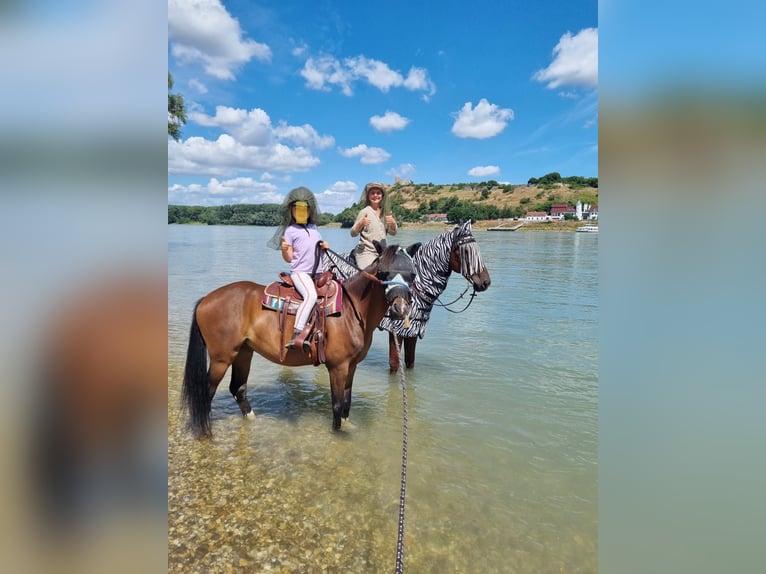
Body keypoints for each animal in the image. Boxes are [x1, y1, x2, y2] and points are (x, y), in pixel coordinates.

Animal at [181, 241, 420, 438]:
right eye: (383, 272)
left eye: (412, 274)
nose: (400, 309)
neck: (352, 309)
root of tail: (206, 299)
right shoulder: (338, 367)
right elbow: (337, 404)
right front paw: (338, 435)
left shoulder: (351, 366)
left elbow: (347, 403)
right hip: (222, 358)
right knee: (207, 392)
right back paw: (205, 431)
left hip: (243, 353)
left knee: (238, 389)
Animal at [379, 220, 491, 371]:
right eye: (466, 251)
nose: (486, 282)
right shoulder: (396, 331)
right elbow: (394, 364)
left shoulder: (412, 333)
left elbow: (410, 362)